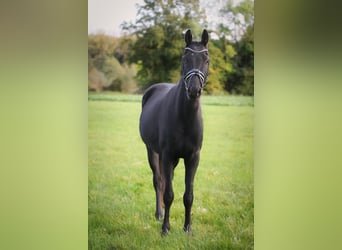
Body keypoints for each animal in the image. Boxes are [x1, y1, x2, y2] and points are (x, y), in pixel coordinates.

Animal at [138, 28, 208, 234]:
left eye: (206, 59)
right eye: (185, 58)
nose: (194, 90)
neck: (184, 117)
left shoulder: (192, 158)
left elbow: (188, 195)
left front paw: (187, 228)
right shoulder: (167, 155)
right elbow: (168, 193)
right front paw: (165, 228)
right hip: (153, 152)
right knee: (158, 181)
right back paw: (159, 213)